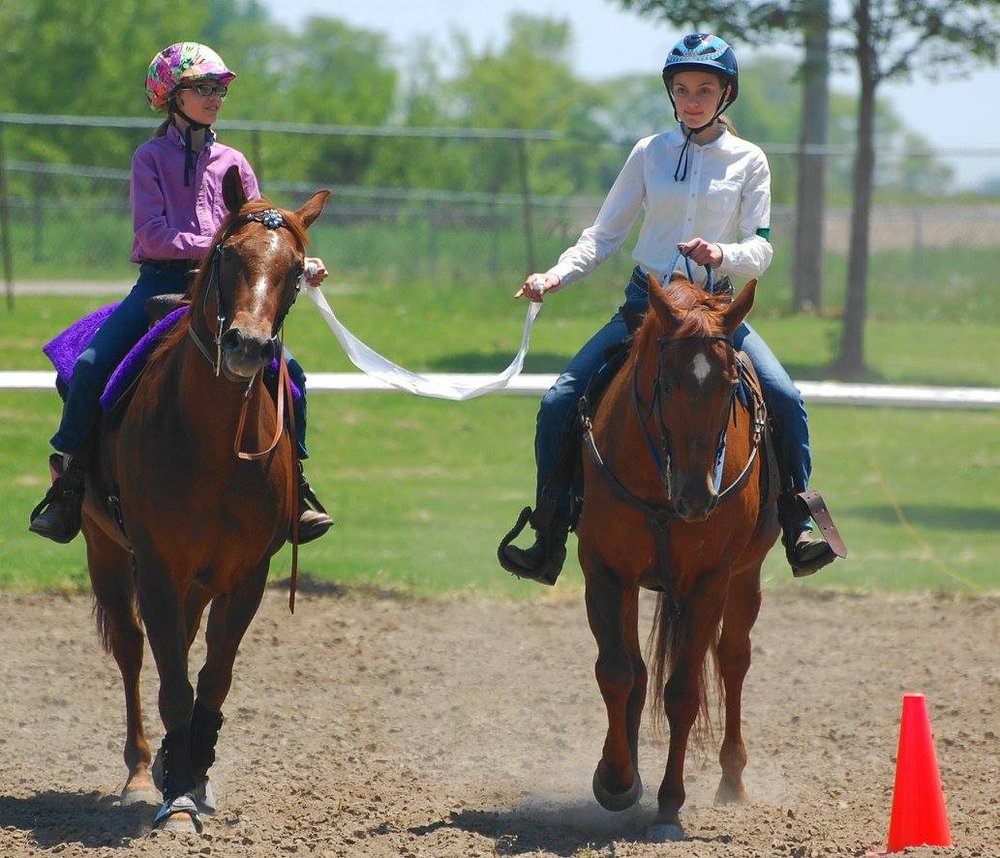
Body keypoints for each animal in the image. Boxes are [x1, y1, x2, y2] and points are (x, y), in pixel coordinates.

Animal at [77, 166, 329, 833]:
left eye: (297, 269)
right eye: (228, 255)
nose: (247, 346)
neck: (213, 446)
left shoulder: (246, 574)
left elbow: (212, 677)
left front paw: (195, 777)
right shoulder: (158, 567)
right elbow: (171, 680)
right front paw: (174, 796)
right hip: (104, 549)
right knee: (133, 650)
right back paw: (143, 772)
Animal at [575, 271, 780, 842]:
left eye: (730, 387)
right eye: (665, 383)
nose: (696, 496)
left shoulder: (709, 579)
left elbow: (684, 691)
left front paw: (669, 804)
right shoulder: (605, 571)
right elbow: (618, 673)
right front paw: (617, 780)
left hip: (745, 576)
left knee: (732, 660)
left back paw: (732, 780)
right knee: (639, 672)